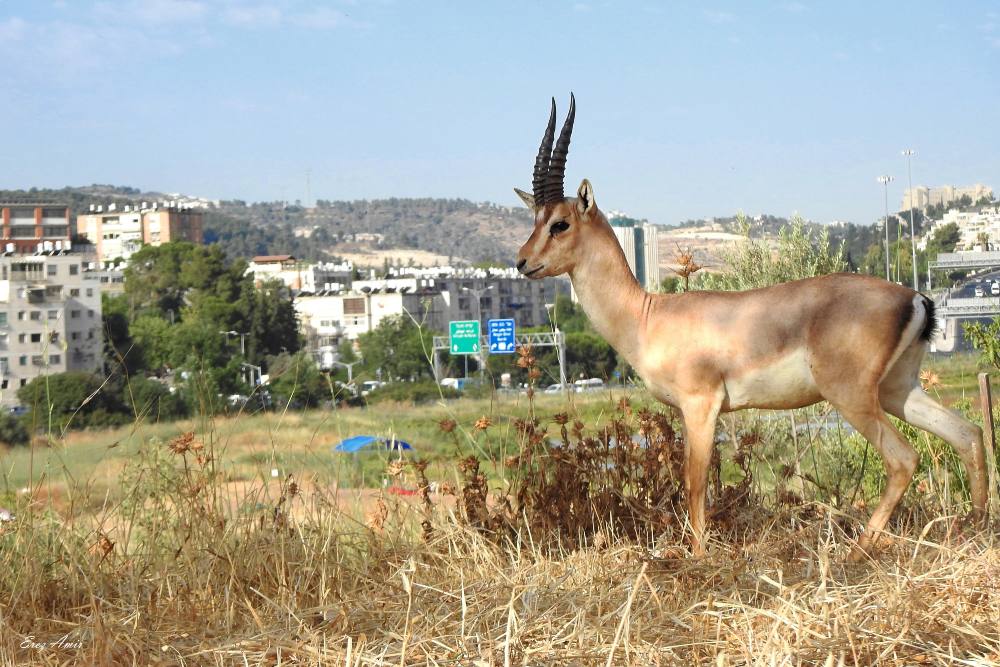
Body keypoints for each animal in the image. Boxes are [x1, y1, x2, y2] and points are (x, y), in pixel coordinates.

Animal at [514, 95, 989, 560]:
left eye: (560, 223)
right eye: (534, 219)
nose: (521, 262)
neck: (647, 315)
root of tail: (917, 298)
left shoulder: (701, 405)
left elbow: (694, 484)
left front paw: (699, 556)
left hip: (852, 396)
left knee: (904, 458)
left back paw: (857, 552)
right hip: (896, 390)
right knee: (968, 432)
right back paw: (972, 528)